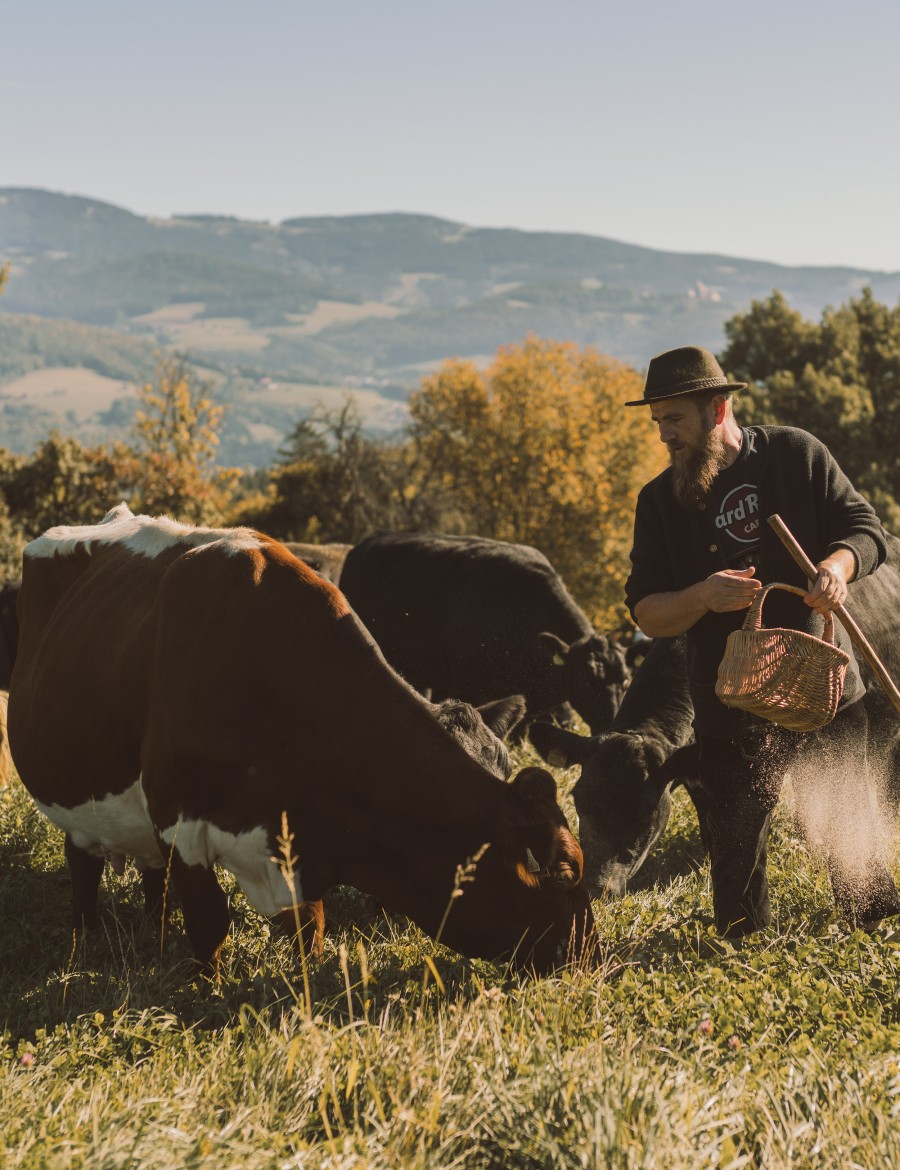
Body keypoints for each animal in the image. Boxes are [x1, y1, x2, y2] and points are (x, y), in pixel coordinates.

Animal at [10, 507, 596, 973]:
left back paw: (153, 936)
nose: (591, 957)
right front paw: (205, 990)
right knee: (83, 863)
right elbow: (210, 924)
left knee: (150, 879)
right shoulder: (179, 820)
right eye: (565, 874)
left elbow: (309, 928)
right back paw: (84, 941)